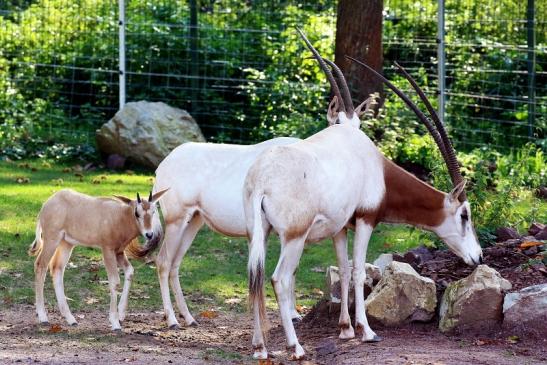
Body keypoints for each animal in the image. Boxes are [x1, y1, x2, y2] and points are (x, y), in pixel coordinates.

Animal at [27, 188, 167, 330]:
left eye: (153, 211)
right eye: (137, 213)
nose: (149, 234)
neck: (120, 216)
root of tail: (47, 204)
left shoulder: (119, 252)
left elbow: (130, 272)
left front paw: (121, 315)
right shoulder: (107, 250)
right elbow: (114, 281)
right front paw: (115, 322)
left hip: (66, 243)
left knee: (57, 268)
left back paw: (71, 319)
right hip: (52, 239)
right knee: (40, 265)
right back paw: (43, 317)